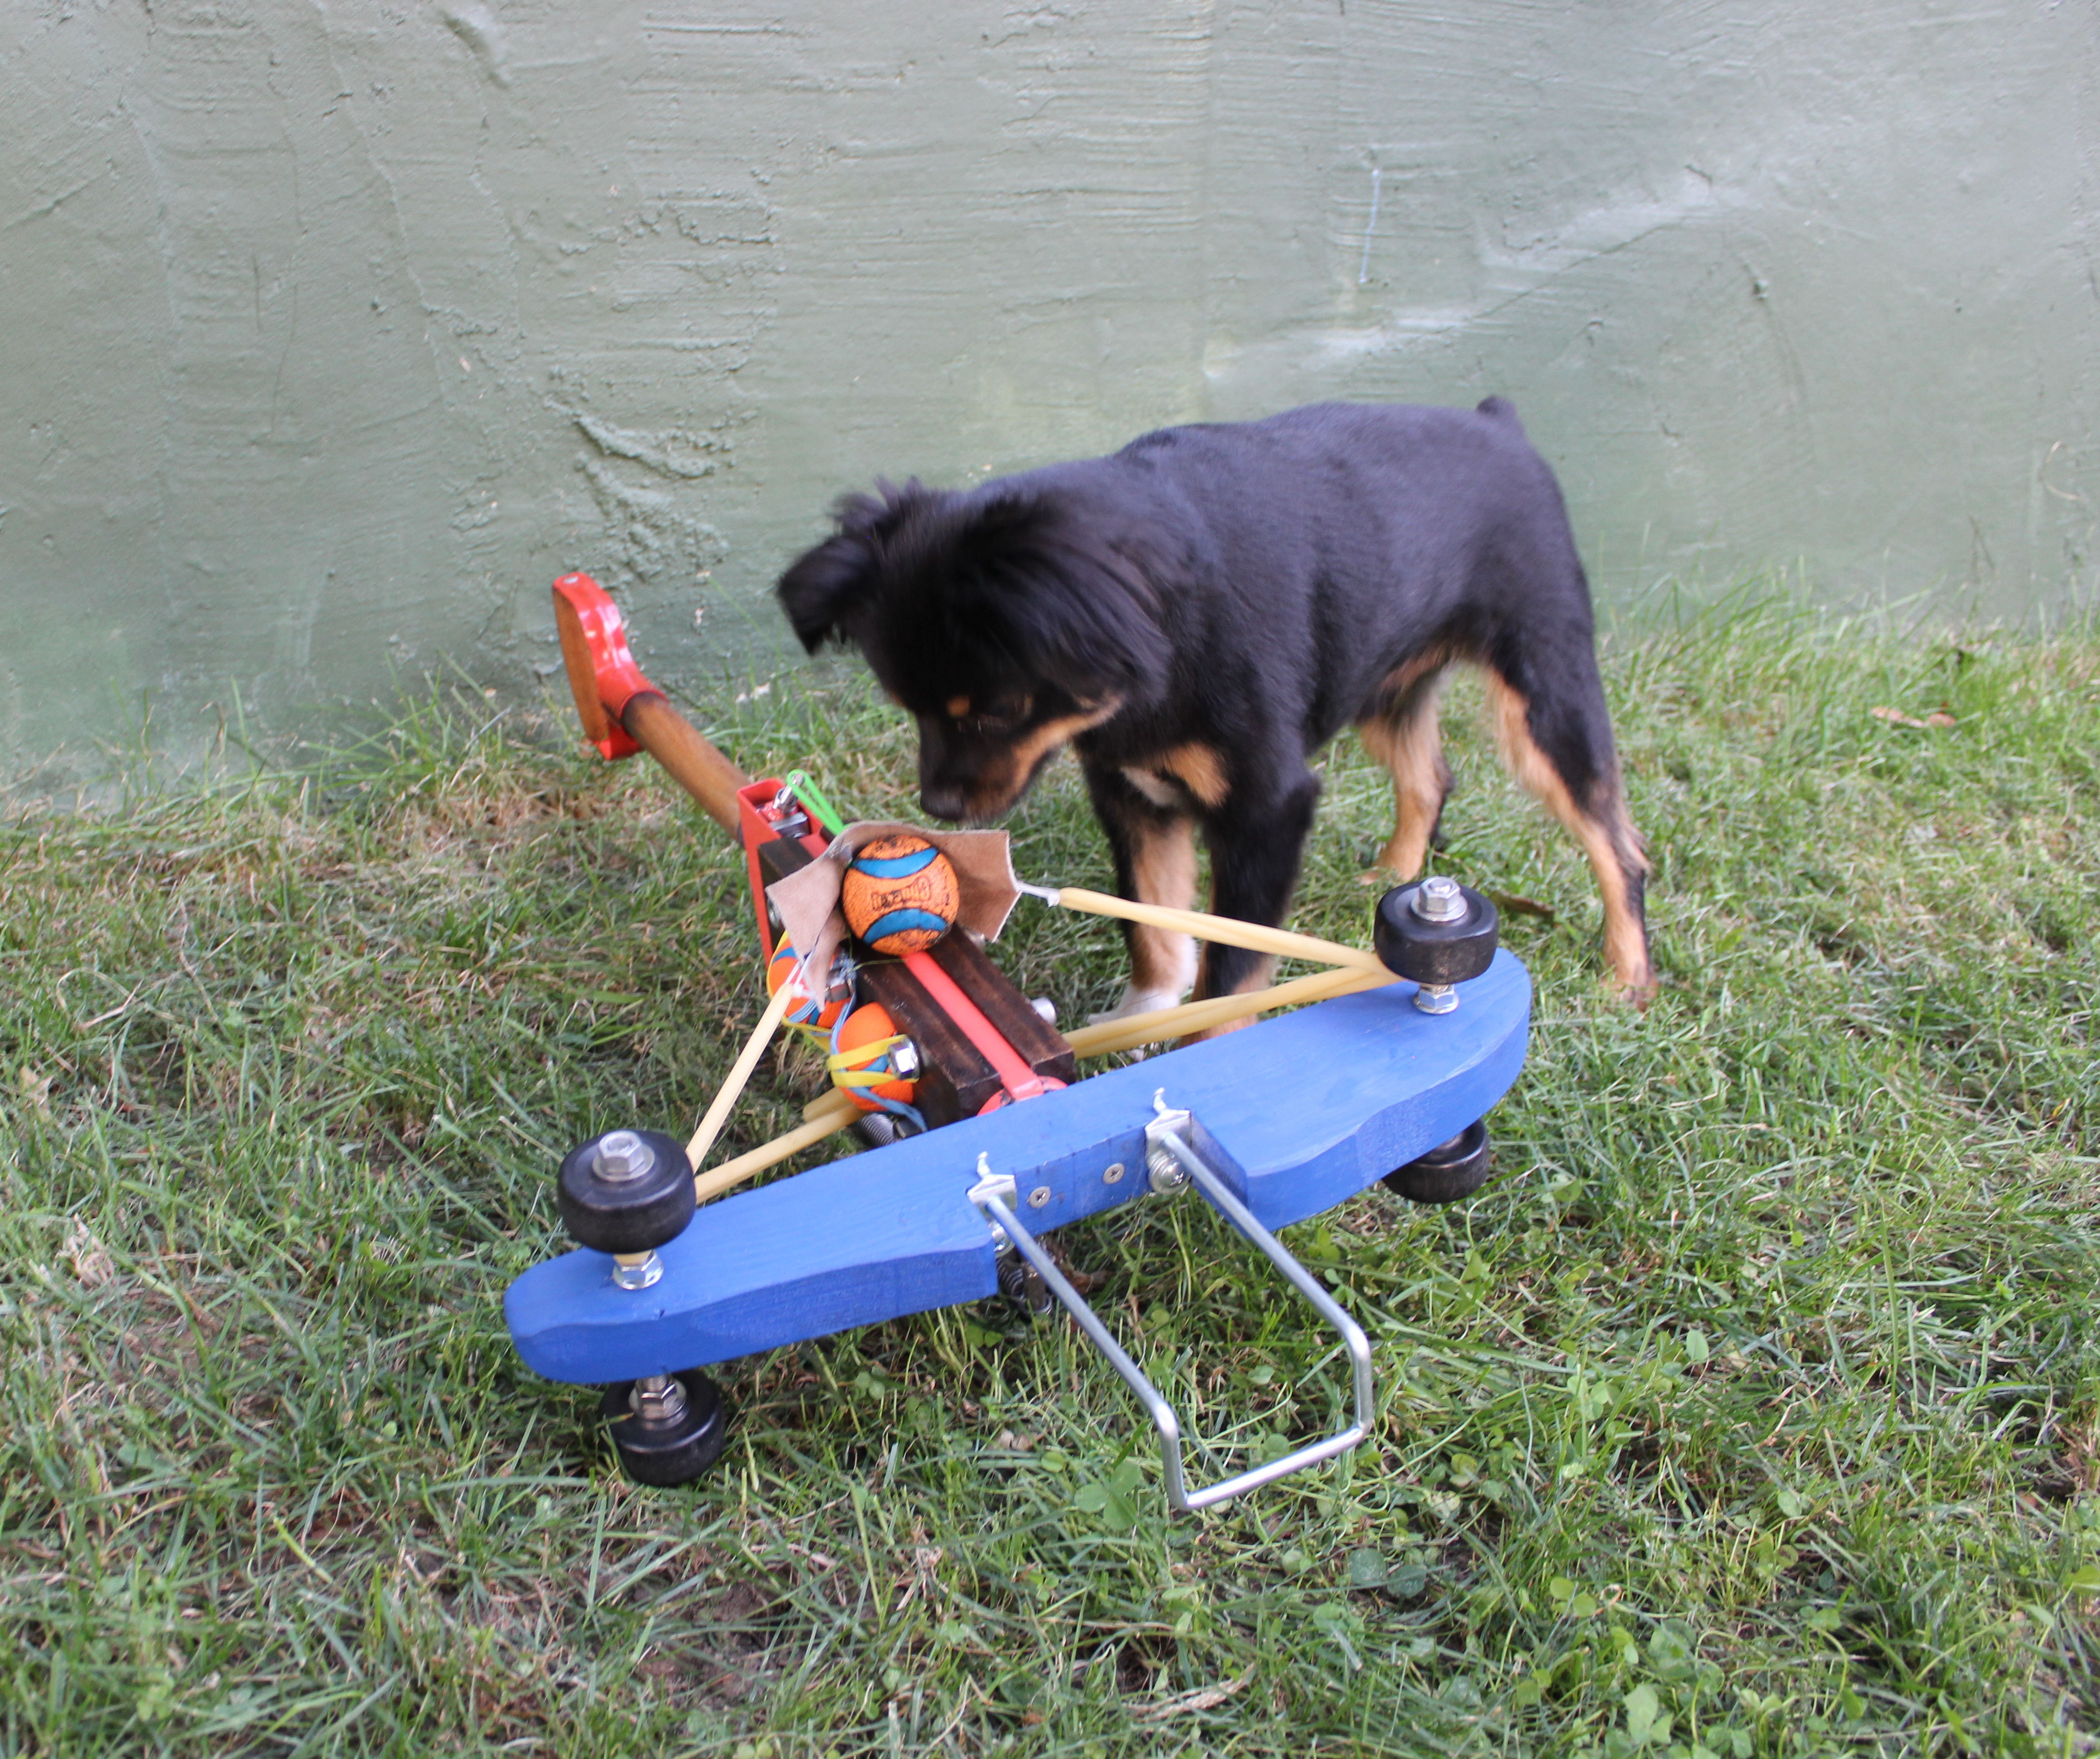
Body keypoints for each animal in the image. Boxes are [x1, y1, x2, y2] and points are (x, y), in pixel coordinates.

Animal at [776, 399, 1652, 1020]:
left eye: (993, 712)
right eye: (908, 709)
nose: (938, 807)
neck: (1167, 634)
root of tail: (1498, 421)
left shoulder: (1267, 808)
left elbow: (1230, 973)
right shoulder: (1133, 793)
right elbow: (1155, 929)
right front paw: (1142, 1020)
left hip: (1543, 693)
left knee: (1617, 845)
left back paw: (1627, 976)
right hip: (1385, 681)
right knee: (1431, 778)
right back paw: (1396, 875)